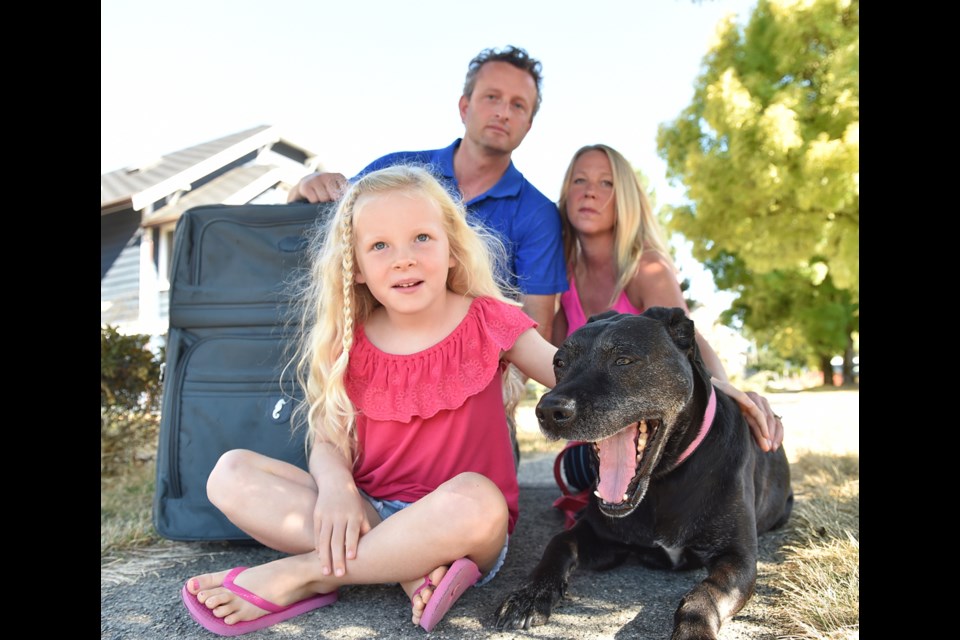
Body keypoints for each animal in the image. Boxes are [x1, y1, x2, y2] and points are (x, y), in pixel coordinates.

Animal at [498, 308, 792, 636]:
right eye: (559, 362)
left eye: (623, 360)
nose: (549, 411)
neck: (663, 481)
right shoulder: (601, 536)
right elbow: (559, 542)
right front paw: (531, 594)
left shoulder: (737, 557)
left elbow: (704, 595)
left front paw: (694, 629)